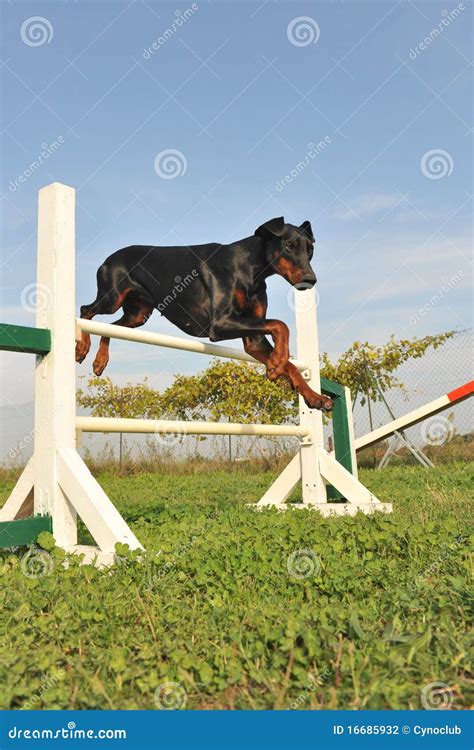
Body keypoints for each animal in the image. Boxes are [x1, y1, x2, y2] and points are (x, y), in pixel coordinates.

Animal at [75, 220, 334, 412]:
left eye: (310, 250)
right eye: (289, 245)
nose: (310, 280)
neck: (250, 268)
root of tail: (107, 259)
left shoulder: (254, 339)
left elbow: (290, 360)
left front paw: (313, 396)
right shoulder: (220, 324)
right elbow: (281, 325)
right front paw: (276, 364)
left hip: (138, 315)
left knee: (111, 328)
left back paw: (100, 361)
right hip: (112, 297)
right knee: (86, 310)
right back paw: (81, 348)